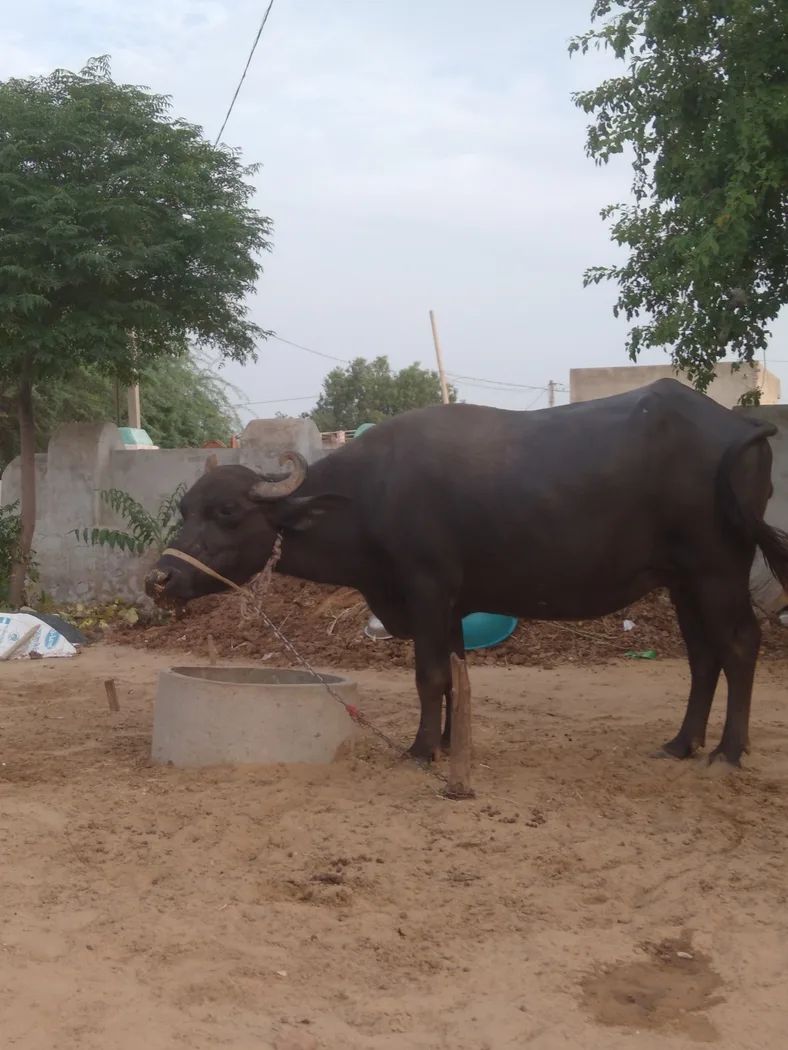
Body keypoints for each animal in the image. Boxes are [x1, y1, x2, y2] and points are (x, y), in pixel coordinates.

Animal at [145, 379, 788, 767]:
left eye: (228, 512)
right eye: (184, 509)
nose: (160, 579)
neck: (368, 496)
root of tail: (738, 428)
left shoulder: (427, 590)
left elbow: (431, 677)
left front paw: (420, 749)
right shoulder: (452, 607)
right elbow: (456, 676)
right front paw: (453, 743)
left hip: (718, 568)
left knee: (741, 643)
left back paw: (728, 751)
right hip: (682, 580)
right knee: (703, 656)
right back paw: (682, 743)